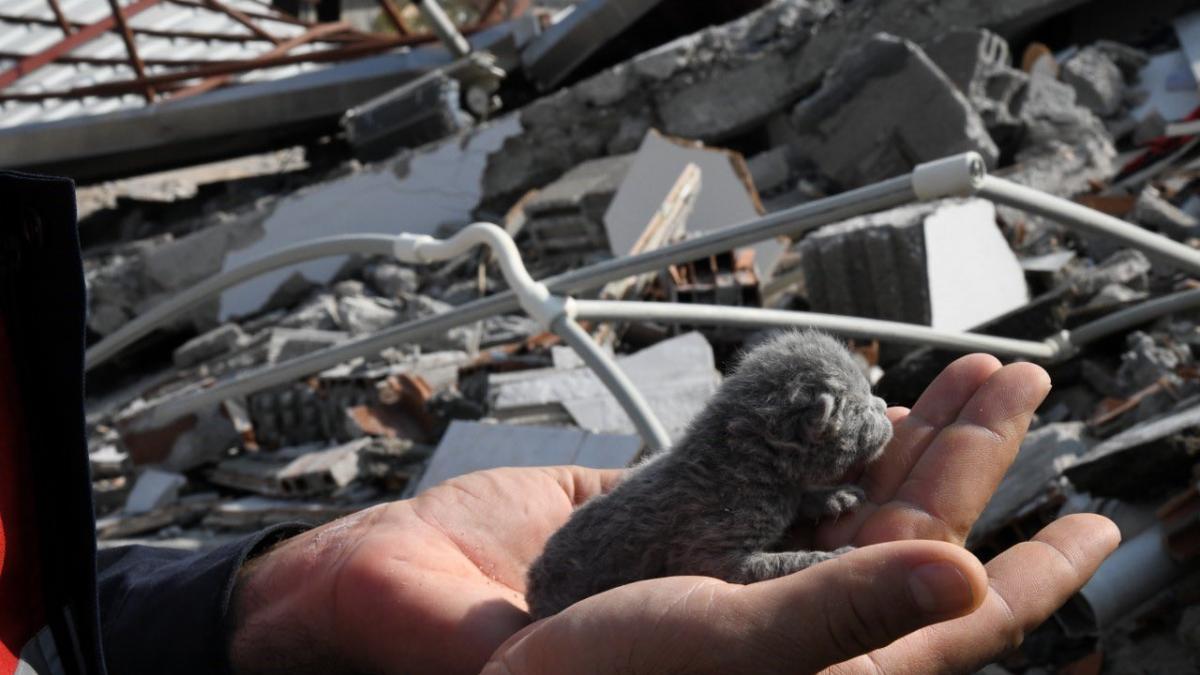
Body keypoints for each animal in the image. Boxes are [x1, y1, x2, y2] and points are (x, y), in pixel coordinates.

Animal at [525, 329, 892, 619]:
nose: (886, 406)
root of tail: (532, 582)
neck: (746, 459)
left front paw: (834, 497)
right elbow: (771, 564)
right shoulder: (711, 552)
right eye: (863, 409)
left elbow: (801, 499)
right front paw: (828, 558)